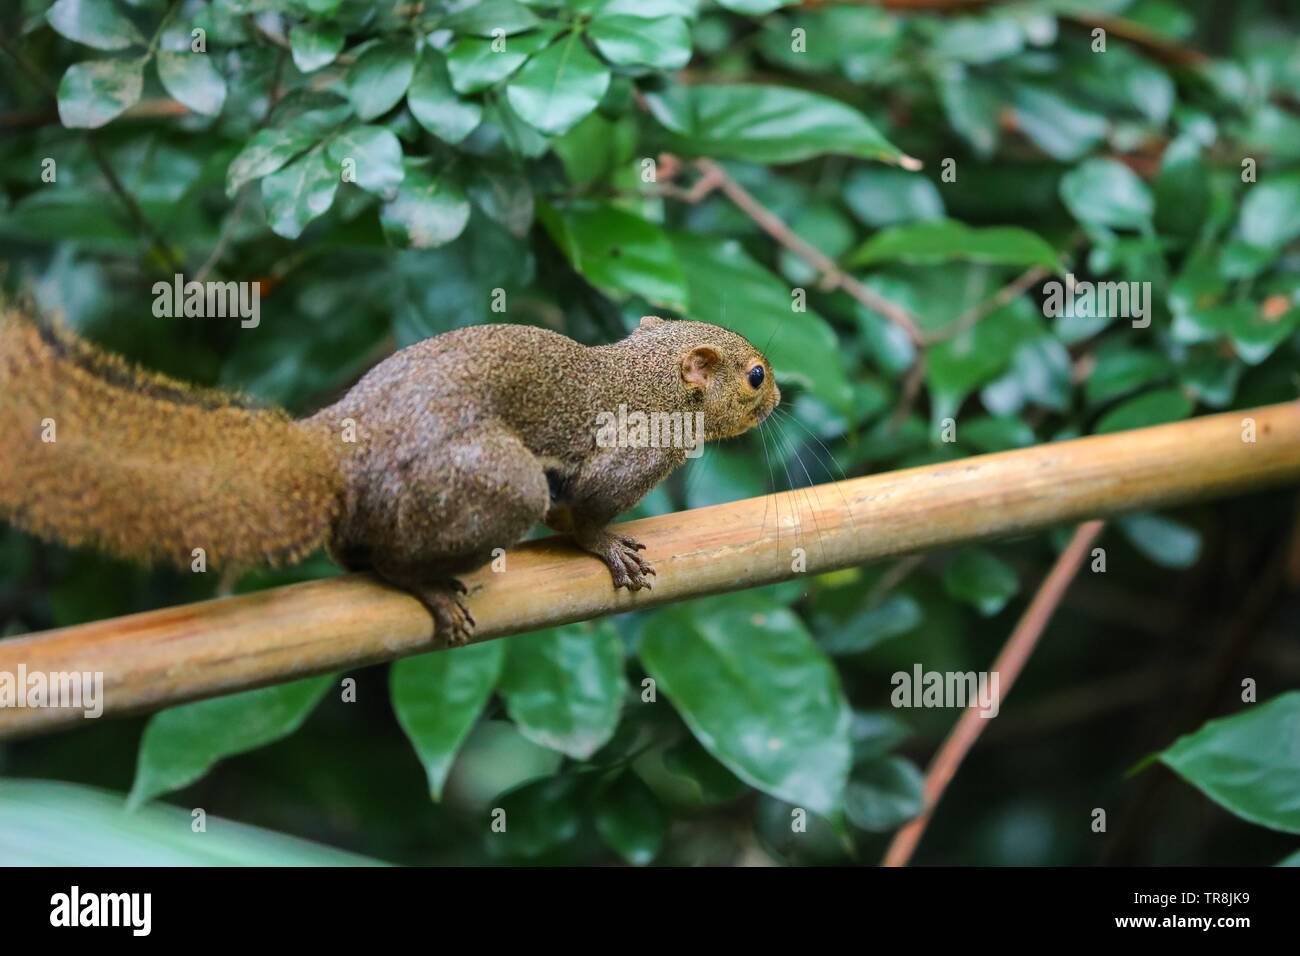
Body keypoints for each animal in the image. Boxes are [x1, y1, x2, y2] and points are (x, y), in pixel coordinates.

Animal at [0, 308, 780, 642]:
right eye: (755, 375)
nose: (779, 397)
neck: (646, 379)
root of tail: (338, 447)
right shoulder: (632, 453)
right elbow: (579, 511)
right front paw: (607, 546)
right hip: (485, 484)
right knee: (408, 554)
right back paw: (423, 585)